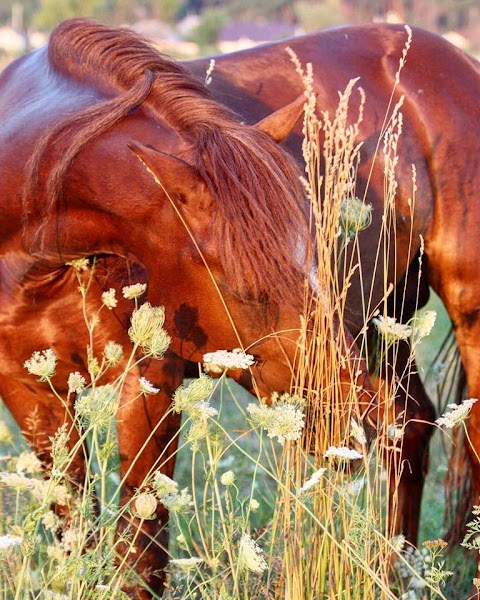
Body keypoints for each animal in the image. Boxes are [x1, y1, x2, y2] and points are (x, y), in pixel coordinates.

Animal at [0, 17, 376, 596]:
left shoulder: (150, 381)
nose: (350, 426)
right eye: (243, 287)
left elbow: (141, 553)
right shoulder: (30, 394)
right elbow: (79, 533)